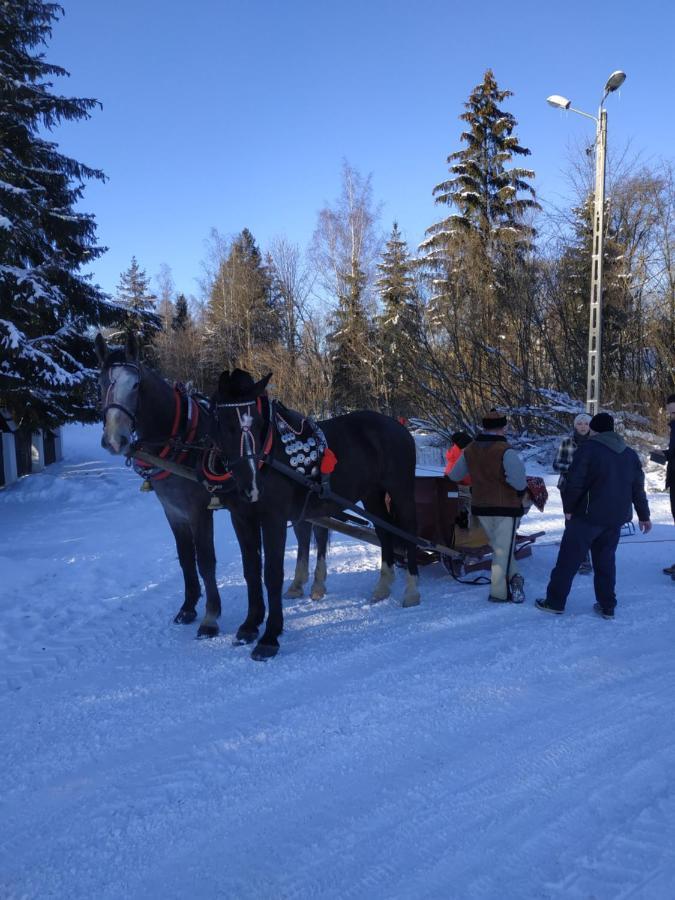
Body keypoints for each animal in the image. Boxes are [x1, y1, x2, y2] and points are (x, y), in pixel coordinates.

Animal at [94, 332, 330, 640]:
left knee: (320, 533)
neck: (182, 438)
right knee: (303, 533)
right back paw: (297, 583)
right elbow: (185, 558)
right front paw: (187, 607)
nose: (114, 439)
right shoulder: (173, 511)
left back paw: (317, 585)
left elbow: (206, 561)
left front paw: (210, 617)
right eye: (100, 383)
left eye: (135, 385)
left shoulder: (199, 511)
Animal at [211, 368, 422, 660]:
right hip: (372, 495)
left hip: (400, 490)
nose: (250, 487)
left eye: (256, 422)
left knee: (408, 532)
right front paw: (249, 625)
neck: (270, 459)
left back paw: (412, 592)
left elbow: (272, 574)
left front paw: (270, 636)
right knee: (384, 532)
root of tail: (398, 426)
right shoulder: (242, 520)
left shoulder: (274, 520)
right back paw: (383, 587)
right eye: (223, 423)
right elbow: (251, 571)